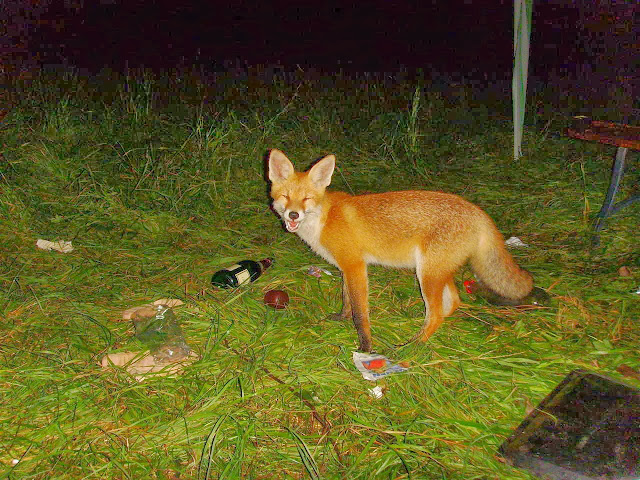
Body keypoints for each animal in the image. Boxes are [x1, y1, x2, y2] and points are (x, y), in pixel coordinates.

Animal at [268, 150, 536, 352]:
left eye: (306, 199)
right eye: (286, 196)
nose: (293, 215)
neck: (323, 219)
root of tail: (478, 212)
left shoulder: (356, 267)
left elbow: (360, 314)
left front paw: (365, 347)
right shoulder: (347, 266)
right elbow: (347, 301)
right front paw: (341, 319)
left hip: (427, 274)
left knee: (436, 315)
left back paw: (412, 347)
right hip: (435, 271)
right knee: (452, 303)